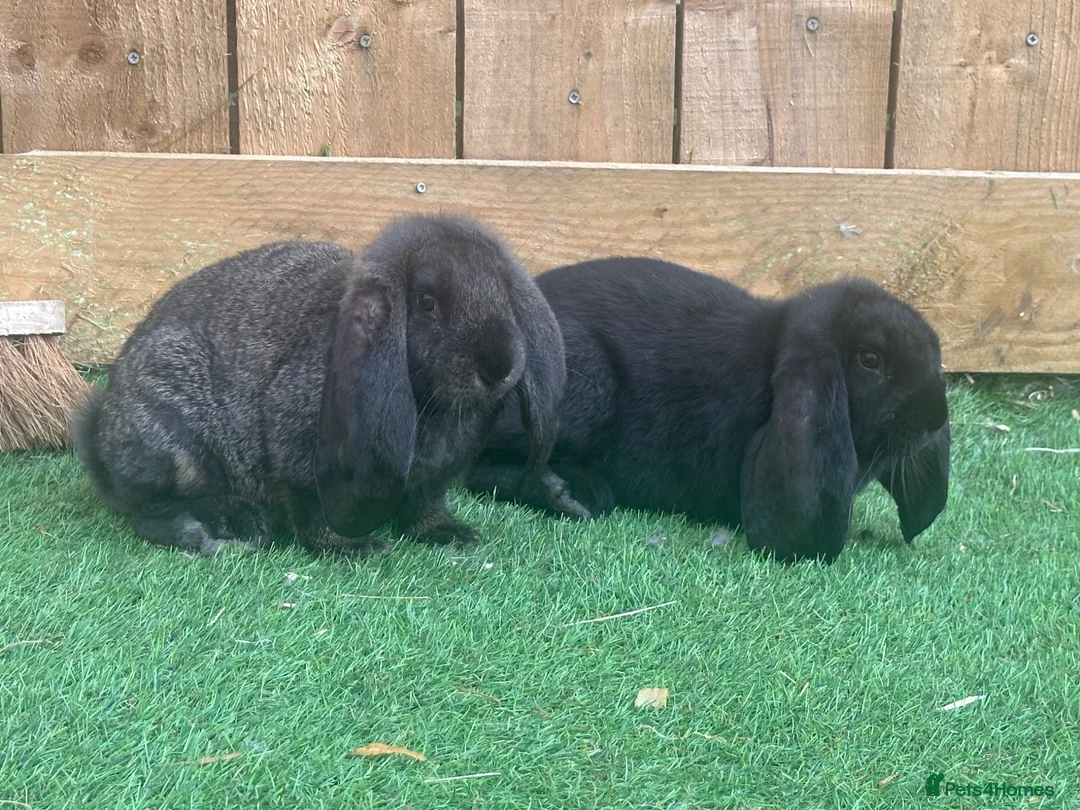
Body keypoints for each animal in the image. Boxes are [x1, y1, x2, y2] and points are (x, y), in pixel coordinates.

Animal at [72, 214, 585, 557]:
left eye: (503, 293)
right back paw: (217, 531)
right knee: (147, 511)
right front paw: (354, 547)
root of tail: (100, 440)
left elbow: (426, 506)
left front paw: (452, 534)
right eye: (426, 302)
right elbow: (312, 511)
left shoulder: (433, 477)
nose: (499, 367)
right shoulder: (300, 456)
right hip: (175, 435)